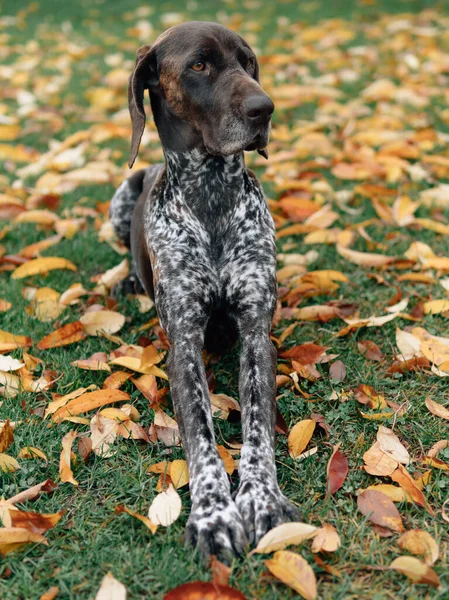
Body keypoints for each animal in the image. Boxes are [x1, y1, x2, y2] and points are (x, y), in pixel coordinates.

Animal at [108, 19, 298, 564]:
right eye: (199, 65)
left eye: (248, 61)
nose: (264, 108)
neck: (211, 194)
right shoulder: (185, 344)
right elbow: (200, 434)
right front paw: (213, 514)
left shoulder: (256, 335)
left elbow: (256, 426)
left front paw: (261, 499)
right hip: (122, 193)